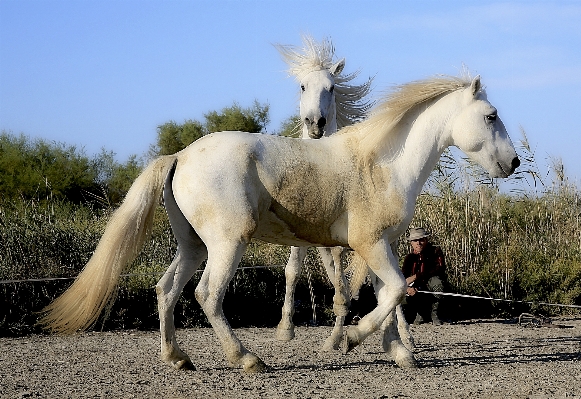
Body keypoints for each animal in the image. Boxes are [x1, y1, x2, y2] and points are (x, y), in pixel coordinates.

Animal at [42, 73, 520, 374]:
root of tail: (180, 156)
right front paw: (353, 339)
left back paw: (178, 359)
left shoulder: (379, 246)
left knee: (166, 289)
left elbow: (389, 295)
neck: (383, 164)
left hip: (193, 246)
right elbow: (396, 291)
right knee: (207, 294)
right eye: (491, 115)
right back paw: (248, 360)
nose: (513, 162)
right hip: (226, 244)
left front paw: (399, 354)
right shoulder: (371, 245)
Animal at [272, 36, 372, 352]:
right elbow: (293, 270)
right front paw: (285, 329)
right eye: (303, 86)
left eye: (331, 87)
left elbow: (341, 281)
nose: (315, 123)